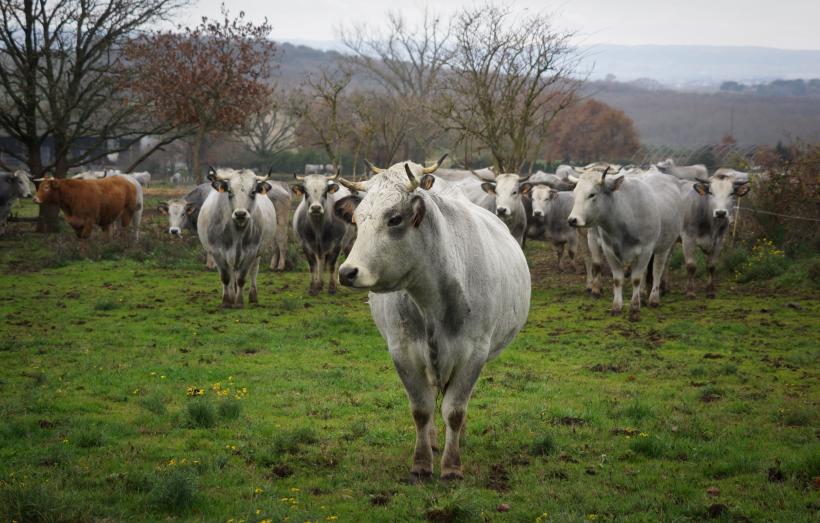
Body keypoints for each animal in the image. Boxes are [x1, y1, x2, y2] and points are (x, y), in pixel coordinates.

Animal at [197, 168, 276, 308]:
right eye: (229, 191)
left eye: (253, 191)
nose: (240, 214)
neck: (237, 233)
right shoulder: (217, 252)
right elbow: (225, 277)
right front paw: (226, 301)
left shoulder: (251, 252)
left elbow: (241, 278)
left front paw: (239, 302)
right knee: (230, 273)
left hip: (257, 254)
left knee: (253, 271)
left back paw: (252, 297)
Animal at [333, 159, 531, 481]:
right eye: (357, 220)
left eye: (394, 219)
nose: (347, 272)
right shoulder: (403, 352)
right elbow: (422, 409)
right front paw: (422, 462)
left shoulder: (474, 354)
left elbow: (455, 410)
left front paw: (452, 466)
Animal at [568, 167, 684, 320]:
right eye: (574, 193)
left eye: (592, 194)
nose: (572, 220)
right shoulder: (608, 249)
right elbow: (616, 278)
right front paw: (616, 306)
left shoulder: (646, 249)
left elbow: (636, 278)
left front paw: (634, 308)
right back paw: (643, 294)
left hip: (665, 244)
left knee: (658, 269)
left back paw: (654, 297)